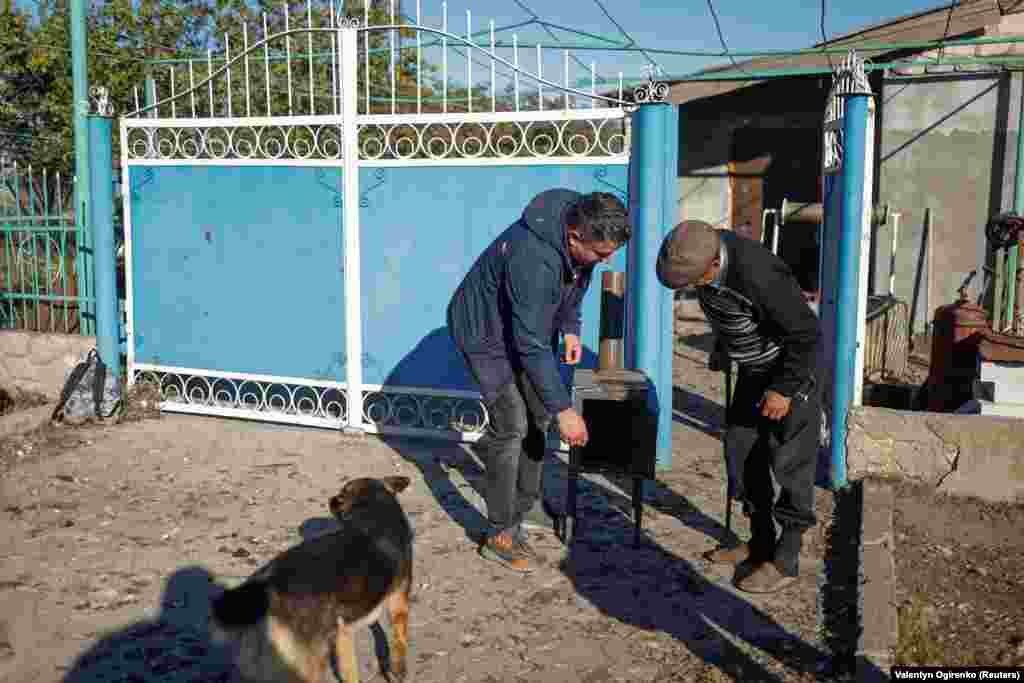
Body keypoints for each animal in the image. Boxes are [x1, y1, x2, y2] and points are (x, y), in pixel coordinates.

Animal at [207, 475, 411, 683]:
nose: (330, 499)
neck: (374, 510)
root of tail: (266, 583)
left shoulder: (342, 632)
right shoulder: (398, 603)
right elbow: (399, 642)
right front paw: (398, 672)